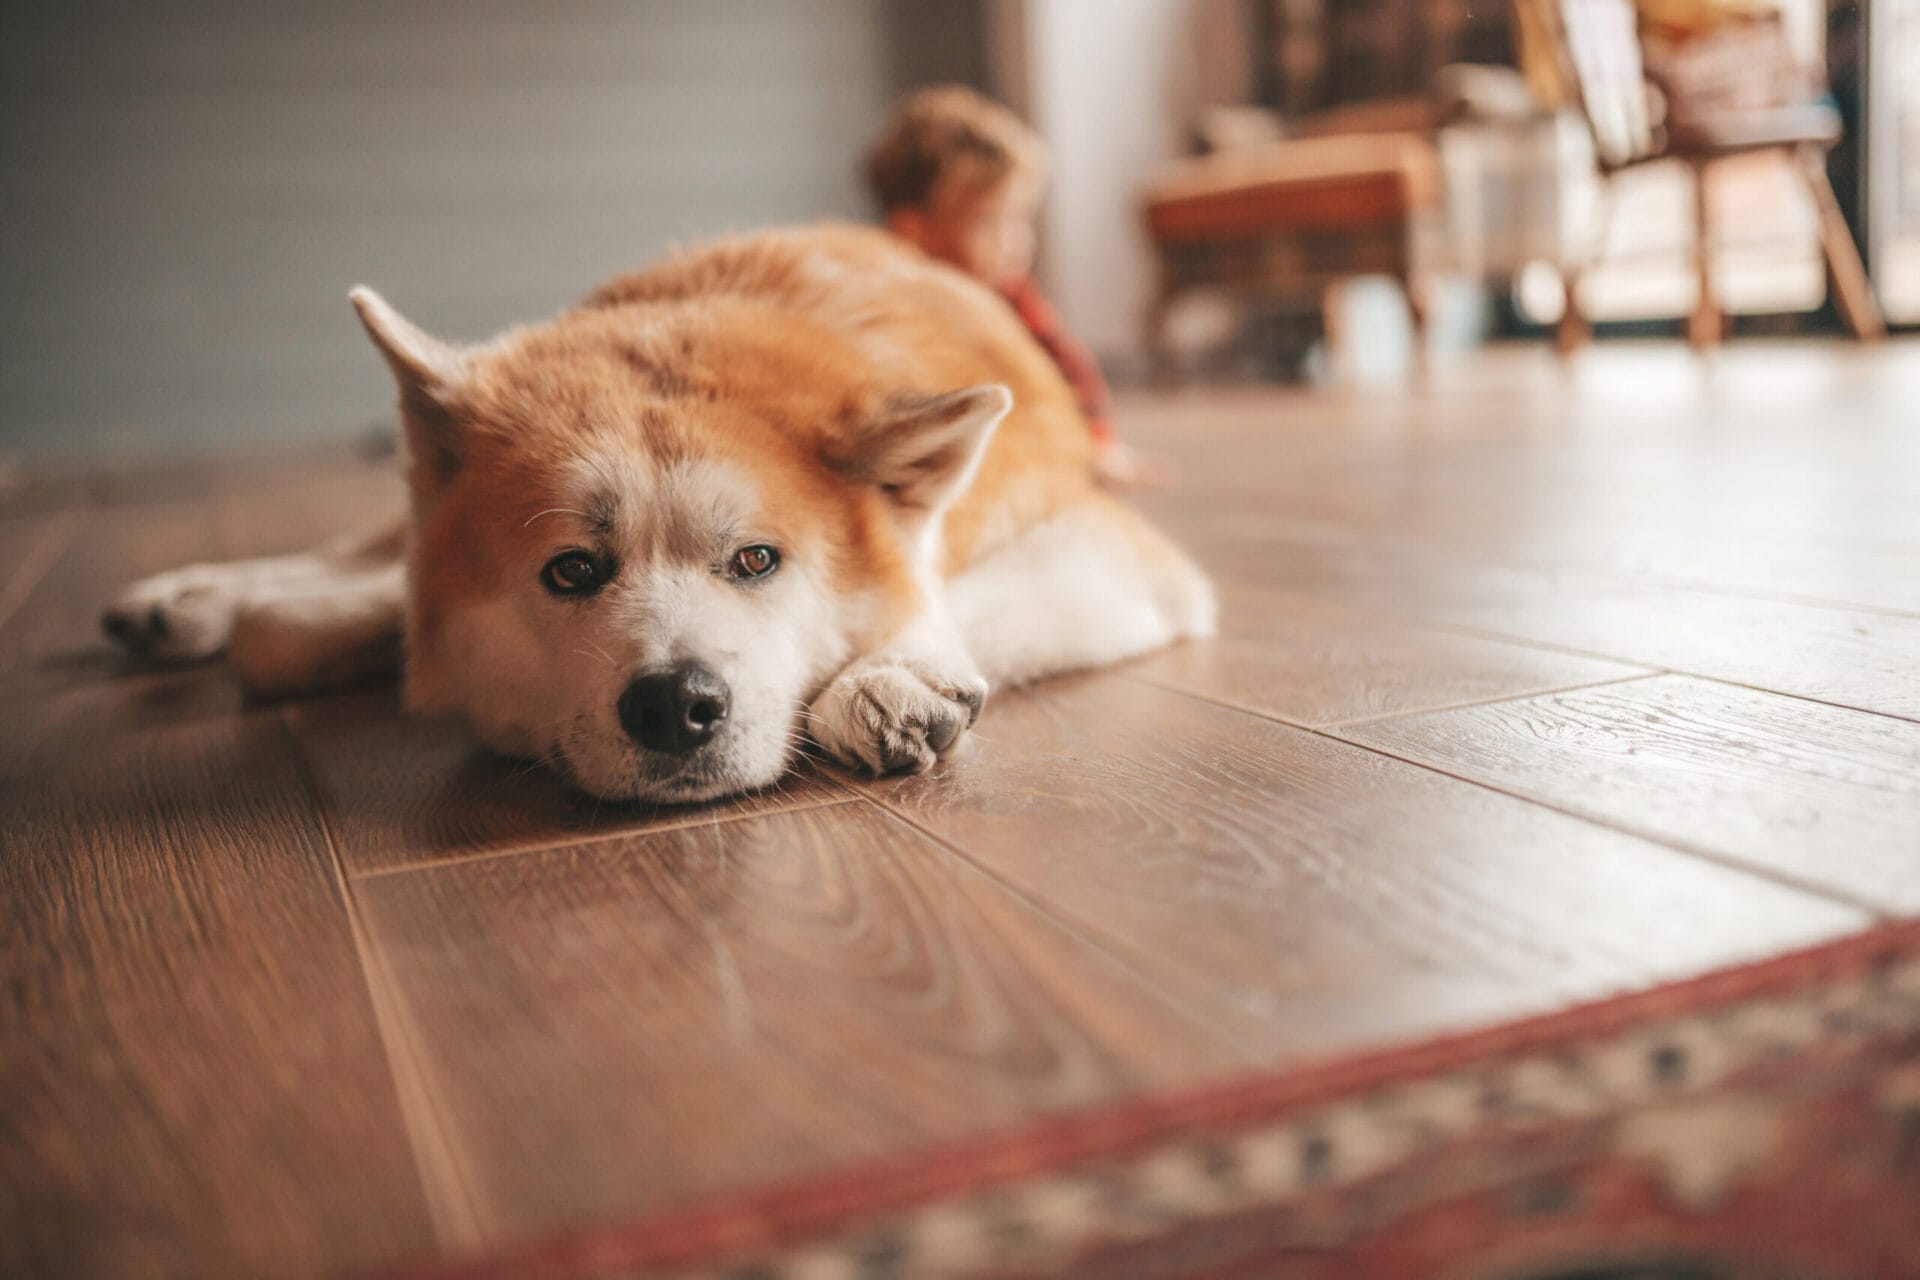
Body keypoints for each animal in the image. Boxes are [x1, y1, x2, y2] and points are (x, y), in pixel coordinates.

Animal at [101, 221, 1213, 802]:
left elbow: (945, 592)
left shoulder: (1118, 552)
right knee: (329, 581)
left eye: (757, 561)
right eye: (572, 570)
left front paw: (891, 671)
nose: (675, 704)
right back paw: (180, 601)